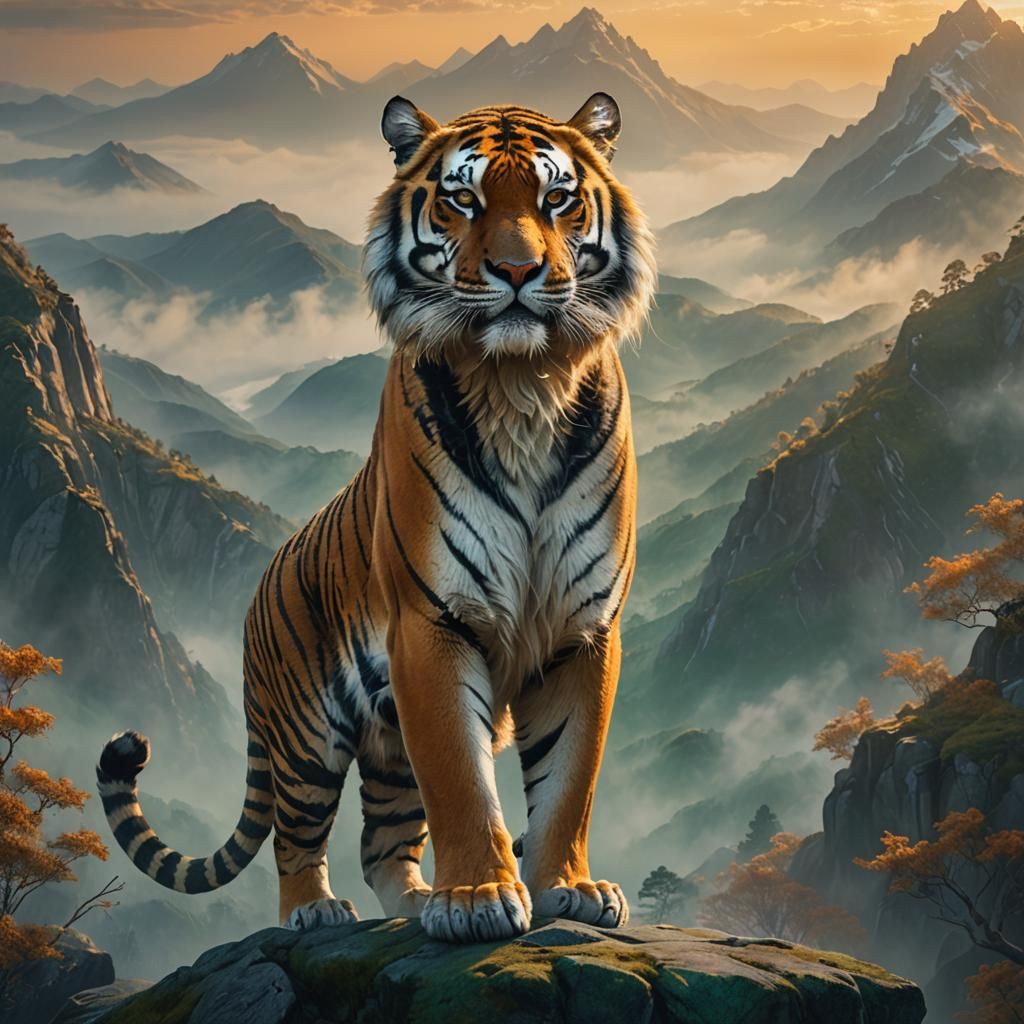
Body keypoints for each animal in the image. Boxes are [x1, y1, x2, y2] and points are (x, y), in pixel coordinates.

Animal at [96, 91, 656, 944]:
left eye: (557, 198)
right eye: (465, 199)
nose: (518, 271)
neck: (522, 386)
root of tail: (255, 596)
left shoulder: (582, 630)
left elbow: (570, 779)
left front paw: (569, 888)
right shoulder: (433, 624)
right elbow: (461, 780)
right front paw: (479, 898)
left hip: (387, 747)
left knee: (384, 842)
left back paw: (417, 903)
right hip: (306, 736)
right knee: (297, 836)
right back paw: (317, 911)